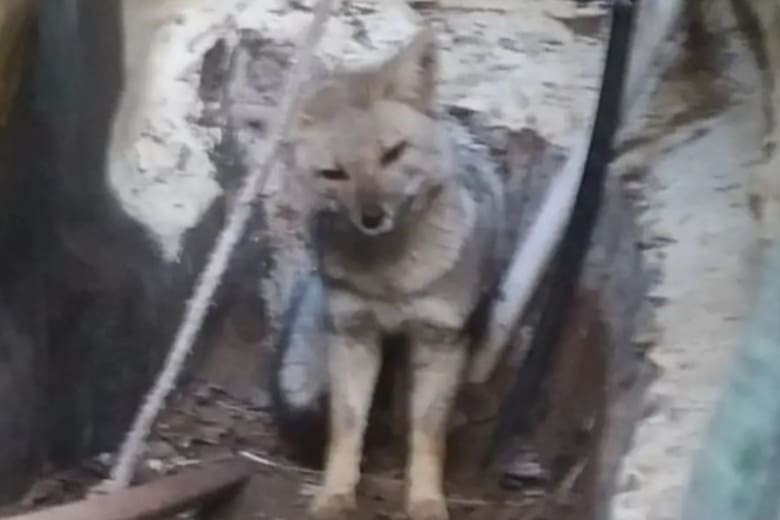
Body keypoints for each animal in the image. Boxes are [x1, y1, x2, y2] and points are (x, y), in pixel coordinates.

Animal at [271, 27, 507, 520]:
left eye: (393, 154)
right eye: (334, 173)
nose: (372, 217)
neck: (392, 280)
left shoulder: (440, 340)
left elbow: (428, 434)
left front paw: (426, 499)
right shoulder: (352, 333)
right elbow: (346, 427)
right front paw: (335, 494)